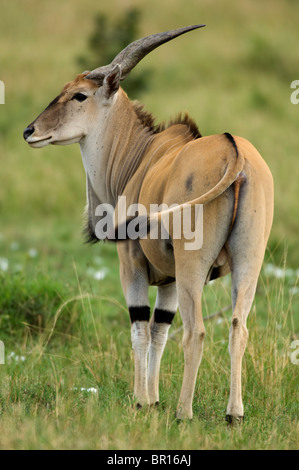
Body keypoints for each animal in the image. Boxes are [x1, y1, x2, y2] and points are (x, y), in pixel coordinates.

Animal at [23, 25, 274, 422]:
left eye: (79, 94)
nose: (30, 131)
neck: (141, 155)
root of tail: (236, 154)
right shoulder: (168, 281)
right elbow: (160, 329)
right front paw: (154, 398)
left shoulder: (133, 265)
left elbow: (140, 327)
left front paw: (142, 400)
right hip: (247, 264)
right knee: (239, 327)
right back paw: (234, 413)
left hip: (193, 266)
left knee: (196, 331)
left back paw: (184, 412)